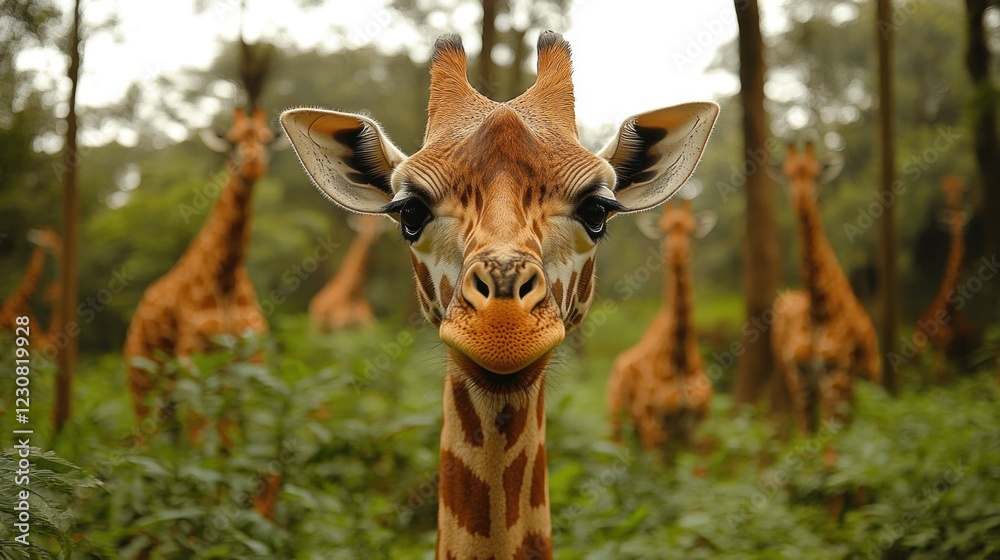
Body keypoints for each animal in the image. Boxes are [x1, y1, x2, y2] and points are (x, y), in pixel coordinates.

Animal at [124, 107, 273, 427]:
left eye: (267, 141)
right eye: (231, 142)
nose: (253, 166)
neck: (225, 277)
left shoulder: (251, 354)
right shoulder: (192, 355)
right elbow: (203, 427)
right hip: (143, 378)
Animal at [606, 199, 714, 454]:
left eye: (691, 230)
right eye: (663, 230)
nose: (675, 253)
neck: (681, 360)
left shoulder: (700, 427)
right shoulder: (653, 425)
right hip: (617, 422)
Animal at [770, 142, 881, 436]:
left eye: (817, 175)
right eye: (787, 176)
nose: (801, 203)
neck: (818, 310)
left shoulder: (835, 374)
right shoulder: (802, 380)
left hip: (867, 376)